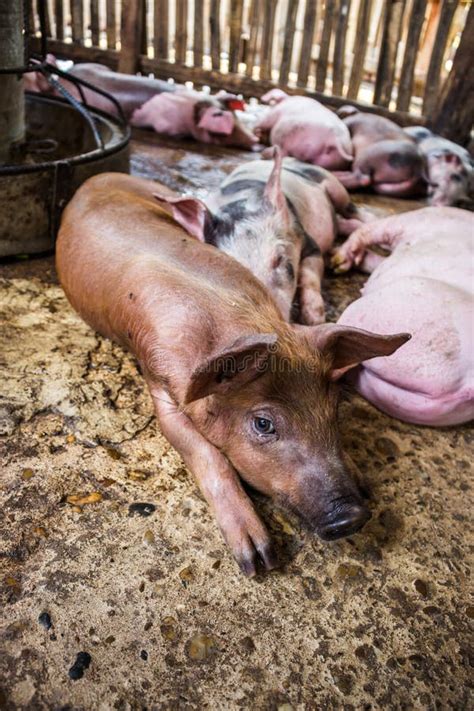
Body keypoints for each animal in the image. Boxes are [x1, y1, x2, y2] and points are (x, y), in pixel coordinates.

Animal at [57, 175, 410, 576]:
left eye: (334, 409)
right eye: (263, 424)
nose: (352, 516)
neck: (232, 318)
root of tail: (96, 177)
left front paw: (364, 483)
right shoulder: (160, 383)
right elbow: (204, 452)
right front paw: (259, 561)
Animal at [154, 151, 362, 328]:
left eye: (280, 260)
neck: (239, 205)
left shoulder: (305, 238)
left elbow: (310, 273)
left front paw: (314, 319)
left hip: (332, 184)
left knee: (355, 212)